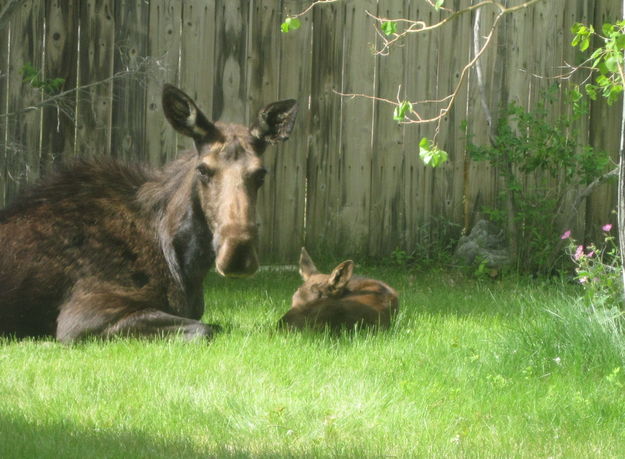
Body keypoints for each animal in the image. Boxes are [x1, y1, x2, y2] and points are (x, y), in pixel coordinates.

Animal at [0, 84, 298, 344]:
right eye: (203, 169)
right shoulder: (82, 316)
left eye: (261, 173)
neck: (183, 265)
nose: (237, 255)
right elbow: (204, 329)